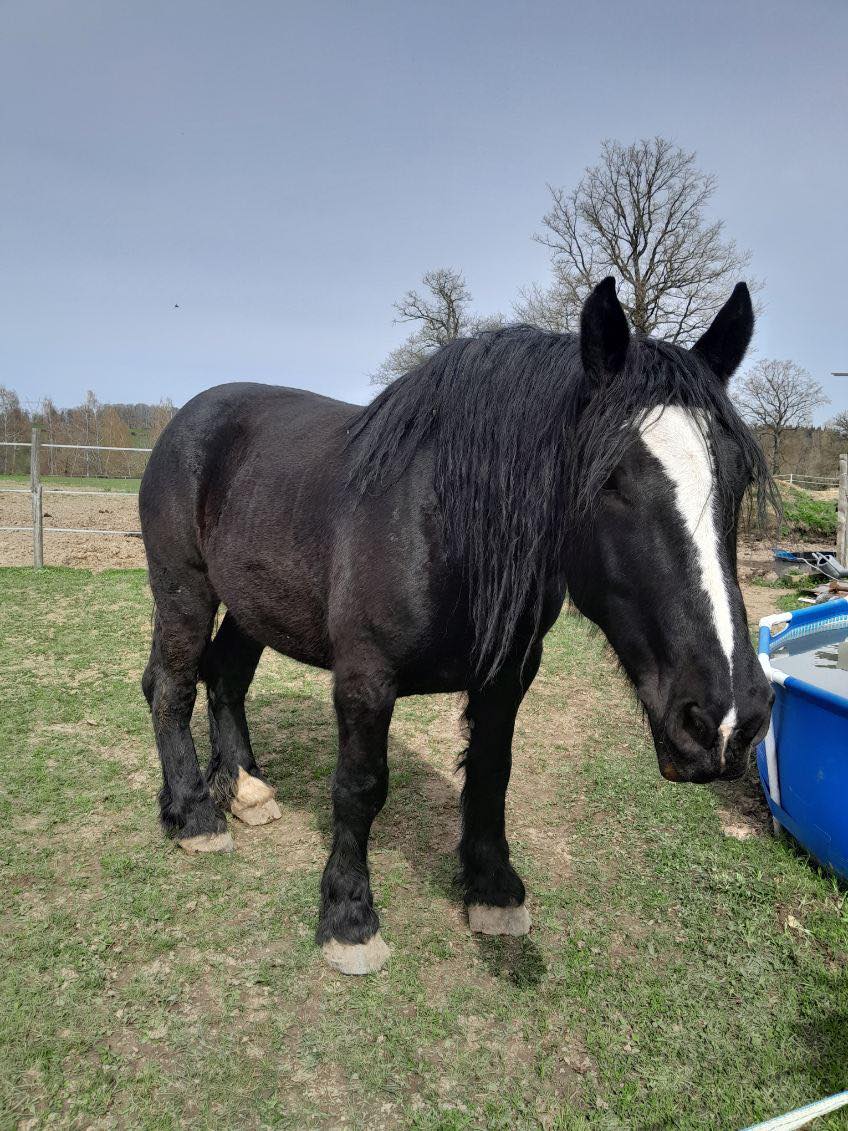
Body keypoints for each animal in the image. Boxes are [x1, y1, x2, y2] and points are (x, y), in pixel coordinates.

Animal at [139, 275, 777, 972]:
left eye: (739, 478)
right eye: (610, 478)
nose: (724, 723)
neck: (441, 527)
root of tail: (188, 419)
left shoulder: (507, 677)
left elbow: (491, 774)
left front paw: (493, 890)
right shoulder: (364, 680)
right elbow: (359, 788)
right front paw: (348, 916)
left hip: (253, 602)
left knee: (225, 677)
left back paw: (248, 792)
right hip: (184, 588)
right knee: (171, 687)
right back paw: (196, 816)